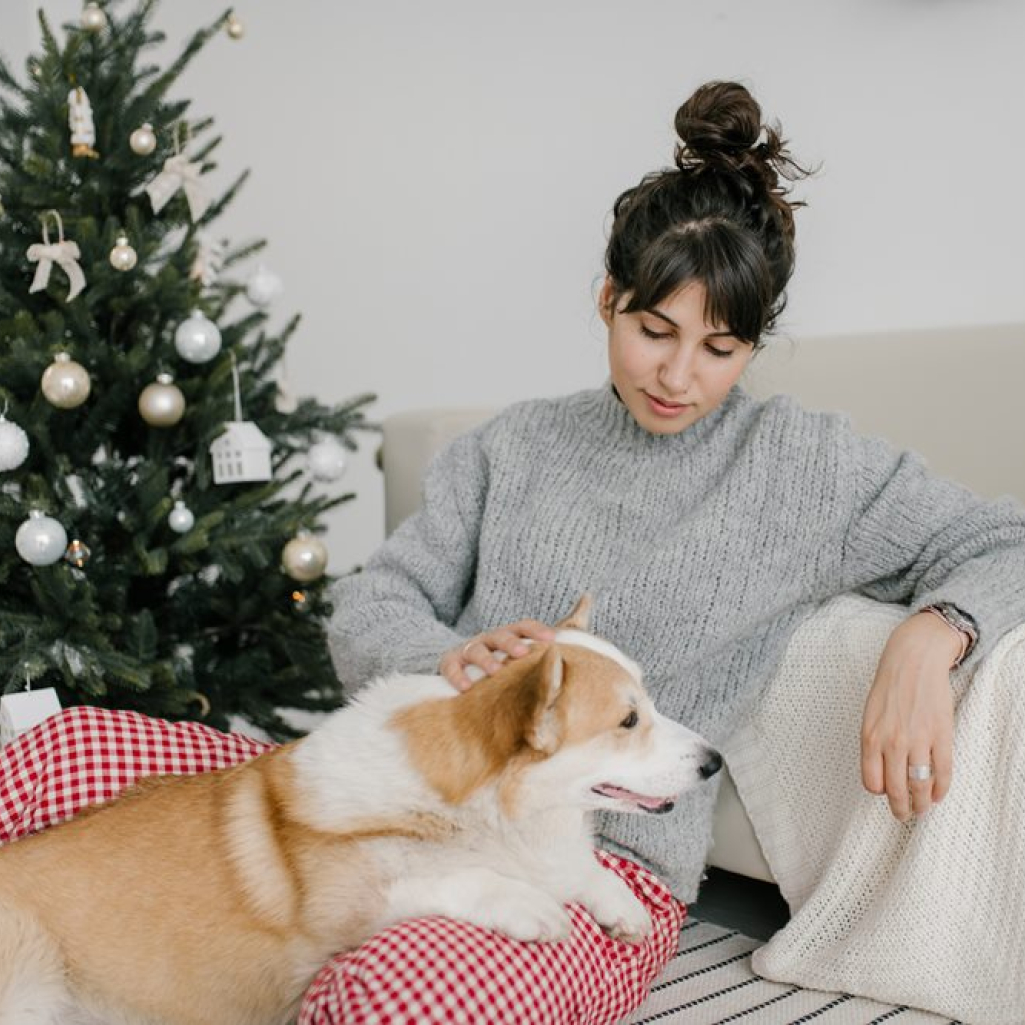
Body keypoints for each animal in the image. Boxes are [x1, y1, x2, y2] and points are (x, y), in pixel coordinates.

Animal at [0, 594, 721, 1025]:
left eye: (647, 705)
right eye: (628, 720)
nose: (715, 761)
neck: (481, 807)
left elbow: (581, 869)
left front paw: (618, 905)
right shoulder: (344, 904)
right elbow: (453, 875)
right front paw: (529, 904)